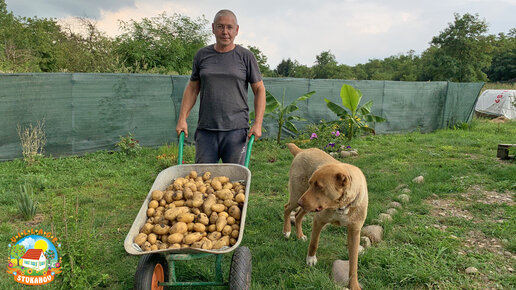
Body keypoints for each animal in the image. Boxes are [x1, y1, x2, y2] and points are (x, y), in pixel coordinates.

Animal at [284, 143, 368, 290]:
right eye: (311, 183)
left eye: (319, 186)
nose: (300, 202)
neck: (342, 206)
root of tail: (301, 151)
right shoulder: (319, 220)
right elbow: (314, 242)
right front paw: (310, 260)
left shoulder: (354, 231)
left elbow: (353, 262)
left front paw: (354, 285)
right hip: (297, 195)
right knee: (287, 209)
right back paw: (287, 231)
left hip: (307, 205)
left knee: (298, 215)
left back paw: (300, 235)